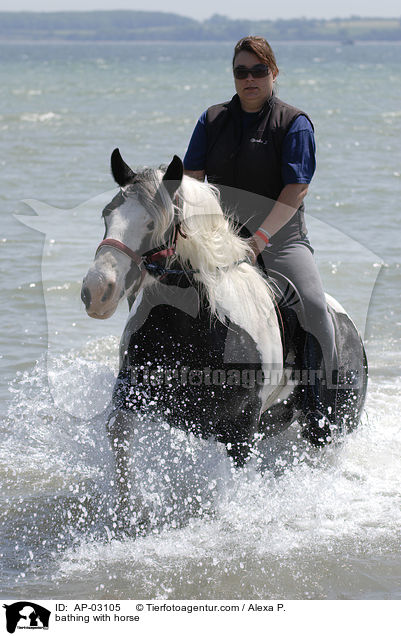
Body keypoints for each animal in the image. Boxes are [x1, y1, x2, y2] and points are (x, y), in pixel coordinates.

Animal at [82, 149, 368, 506]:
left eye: (152, 223)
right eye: (107, 215)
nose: (96, 291)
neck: (194, 330)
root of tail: (351, 331)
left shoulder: (240, 430)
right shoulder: (132, 396)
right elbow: (118, 435)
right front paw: (128, 507)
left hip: (326, 426)